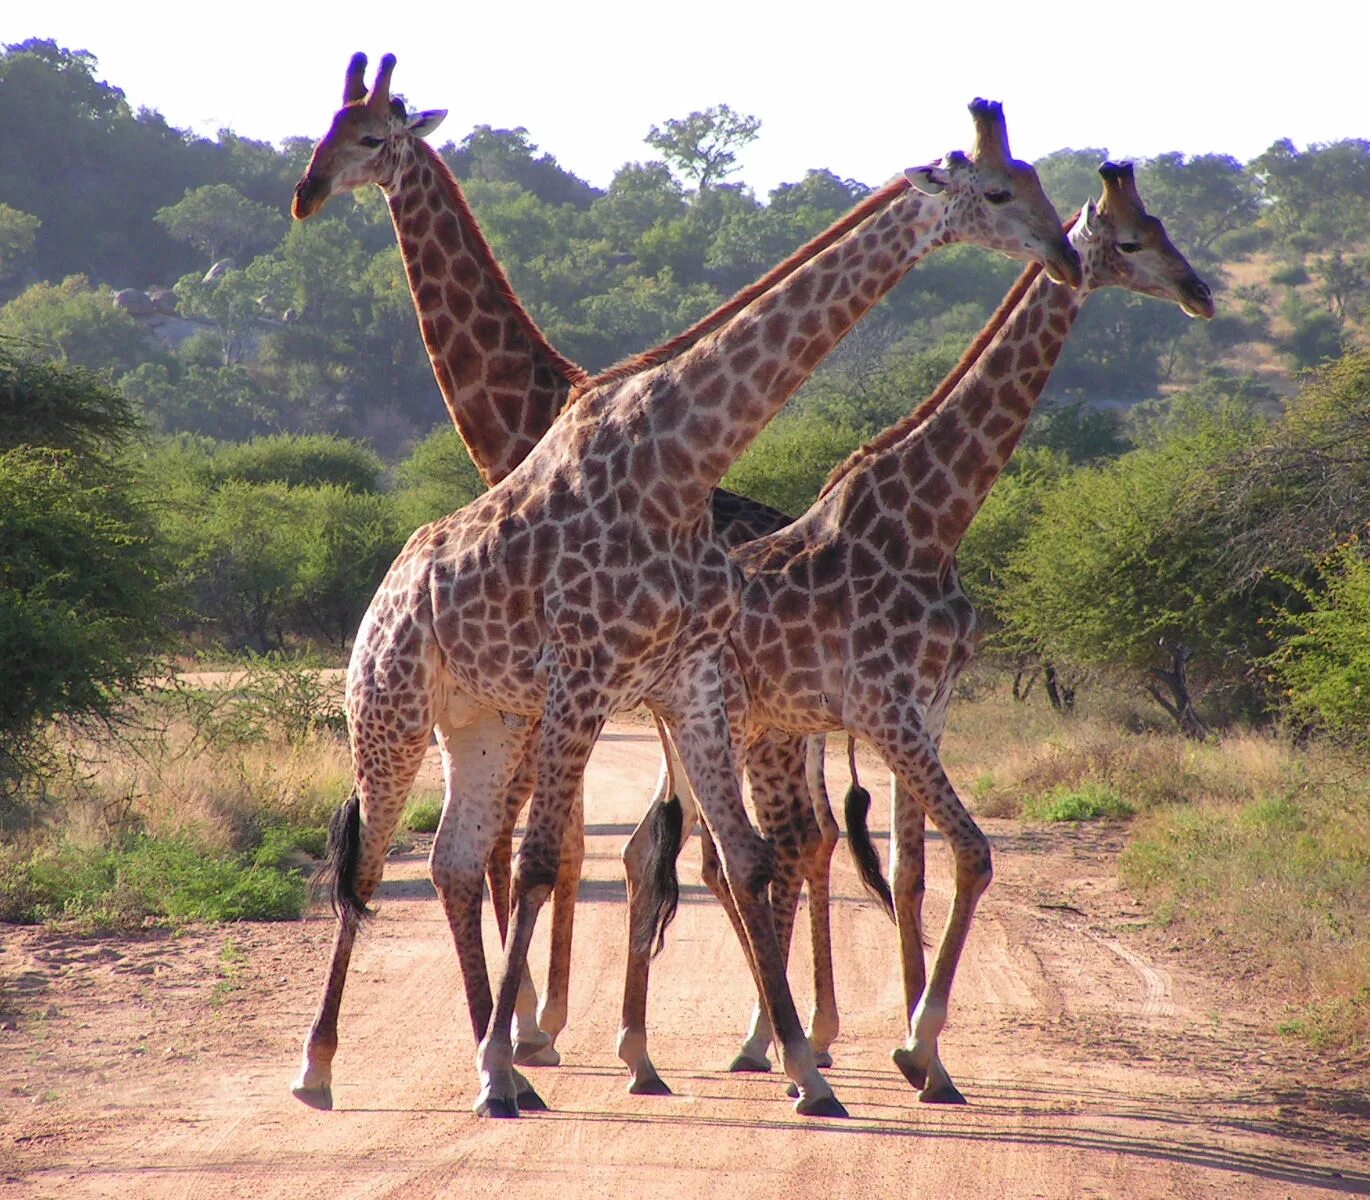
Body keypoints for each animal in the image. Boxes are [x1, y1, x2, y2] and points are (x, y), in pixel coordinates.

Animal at [289, 49, 1079, 1117]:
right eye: (999, 191)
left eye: (1034, 184)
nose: (1065, 254)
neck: (679, 457)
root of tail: (380, 597)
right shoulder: (584, 678)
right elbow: (554, 858)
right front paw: (532, 1051)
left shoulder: (683, 684)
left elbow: (721, 857)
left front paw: (792, 1069)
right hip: (393, 711)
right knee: (370, 860)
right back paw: (322, 1068)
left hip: (498, 721)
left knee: (467, 856)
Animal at [621, 161, 1211, 1106]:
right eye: (1128, 241)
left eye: (1161, 227)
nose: (1200, 292)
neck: (933, 524)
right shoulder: (886, 709)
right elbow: (973, 852)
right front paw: (914, 1047)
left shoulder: (927, 710)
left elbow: (912, 869)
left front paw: (931, 1063)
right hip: (741, 732)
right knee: (713, 859)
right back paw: (713, 1051)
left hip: (727, 735)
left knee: (692, 854)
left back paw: (680, 1053)